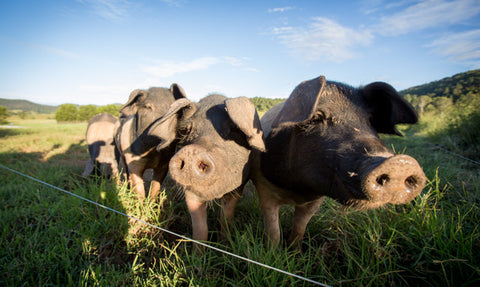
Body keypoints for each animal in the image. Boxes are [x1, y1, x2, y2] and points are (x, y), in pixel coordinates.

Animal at [253, 76, 426, 250]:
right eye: (316, 118)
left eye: (370, 121)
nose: (401, 163)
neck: (298, 191)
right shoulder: (264, 187)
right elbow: (273, 230)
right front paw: (272, 252)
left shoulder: (316, 199)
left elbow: (300, 227)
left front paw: (295, 251)